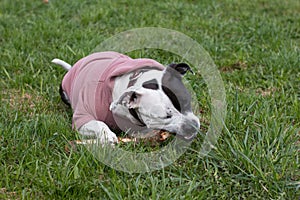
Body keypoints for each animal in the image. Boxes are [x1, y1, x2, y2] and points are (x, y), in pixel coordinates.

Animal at [52, 51, 200, 144]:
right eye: (165, 116)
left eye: (187, 102)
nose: (192, 127)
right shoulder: (82, 118)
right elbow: (98, 123)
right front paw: (107, 135)